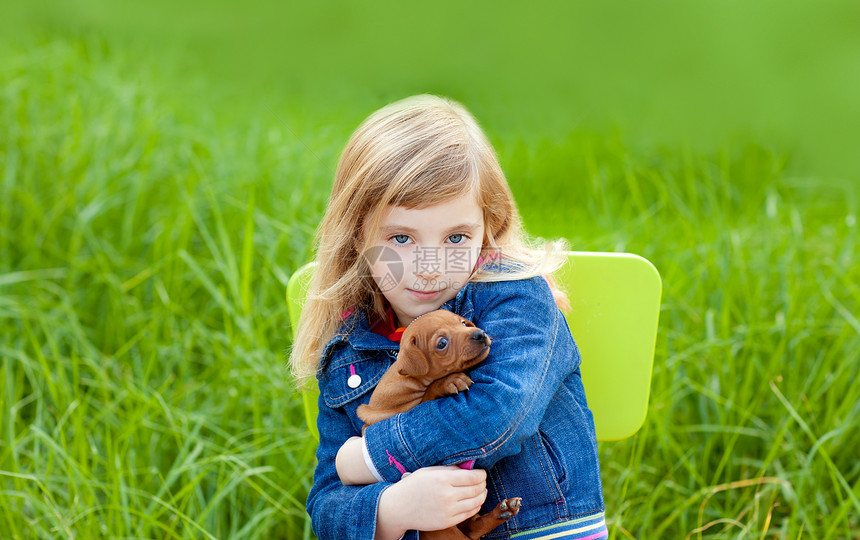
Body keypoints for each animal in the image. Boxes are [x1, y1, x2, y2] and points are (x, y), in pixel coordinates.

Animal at [354, 310, 520, 536]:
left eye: (463, 323)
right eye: (442, 343)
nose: (479, 334)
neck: (411, 381)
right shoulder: (398, 413)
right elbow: (429, 393)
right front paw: (450, 381)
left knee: (473, 528)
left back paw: (502, 511)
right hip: (442, 531)